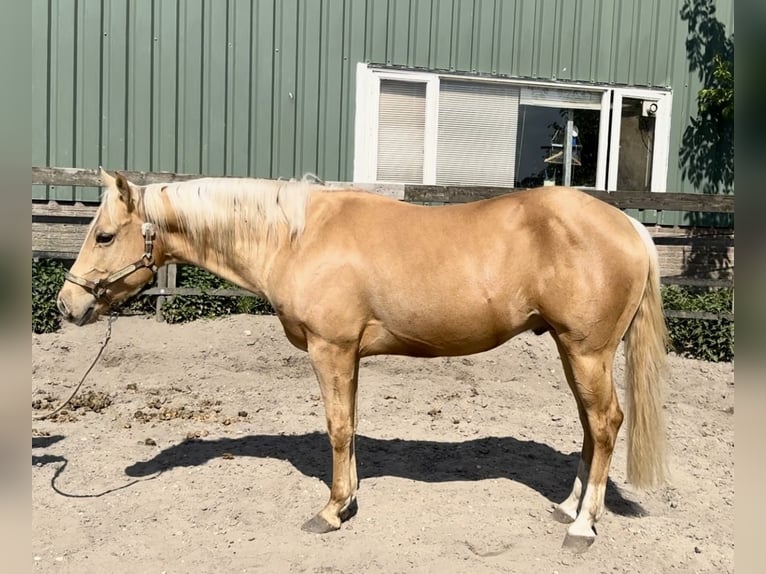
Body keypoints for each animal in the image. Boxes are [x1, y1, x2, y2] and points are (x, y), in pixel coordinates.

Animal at [56, 168, 668, 551]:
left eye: (104, 235)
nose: (67, 304)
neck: (295, 238)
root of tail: (630, 226)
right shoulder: (348, 354)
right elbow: (349, 426)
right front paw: (347, 499)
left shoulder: (330, 349)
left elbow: (337, 427)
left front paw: (330, 511)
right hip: (572, 350)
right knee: (590, 426)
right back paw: (568, 507)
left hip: (586, 351)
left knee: (606, 423)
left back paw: (583, 527)